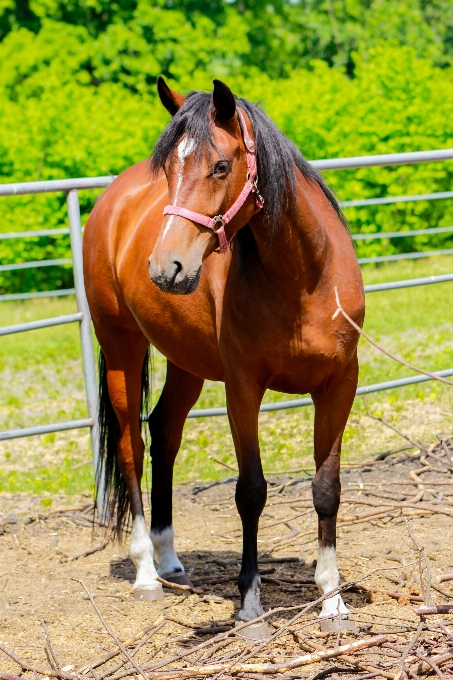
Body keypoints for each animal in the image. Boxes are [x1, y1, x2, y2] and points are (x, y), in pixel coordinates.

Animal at [82, 78, 364, 636]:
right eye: (169, 171)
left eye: (218, 166)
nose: (166, 267)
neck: (304, 276)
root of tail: (111, 201)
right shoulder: (243, 388)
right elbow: (250, 491)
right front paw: (251, 606)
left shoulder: (340, 383)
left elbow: (327, 487)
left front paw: (333, 601)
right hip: (121, 346)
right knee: (130, 446)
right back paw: (146, 571)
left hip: (185, 361)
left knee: (164, 431)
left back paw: (170, 561)